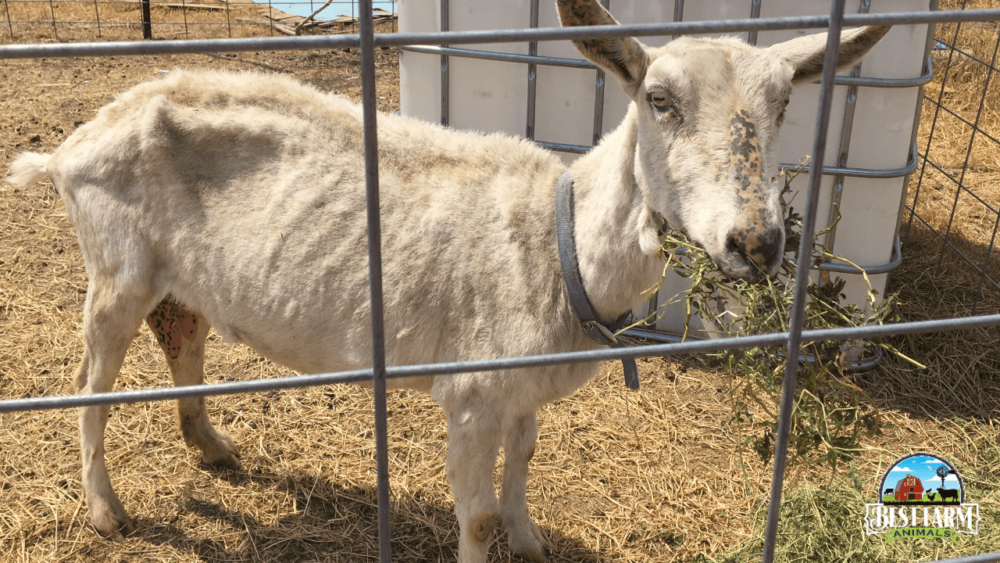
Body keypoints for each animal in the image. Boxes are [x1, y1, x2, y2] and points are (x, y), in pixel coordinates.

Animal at [1, 2, 892, 560]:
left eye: (785, 105)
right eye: (659, 99)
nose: (757, 240)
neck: (561, 241)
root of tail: (74, 144)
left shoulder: (523, 391)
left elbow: (525, 464)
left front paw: (533, 540)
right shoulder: (469, 392)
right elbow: (479, 511)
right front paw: (497, 538)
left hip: (170, 274)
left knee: (181, 336)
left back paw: (211, 445)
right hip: (113, 264)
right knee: (91, 381)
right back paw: (106, 509)